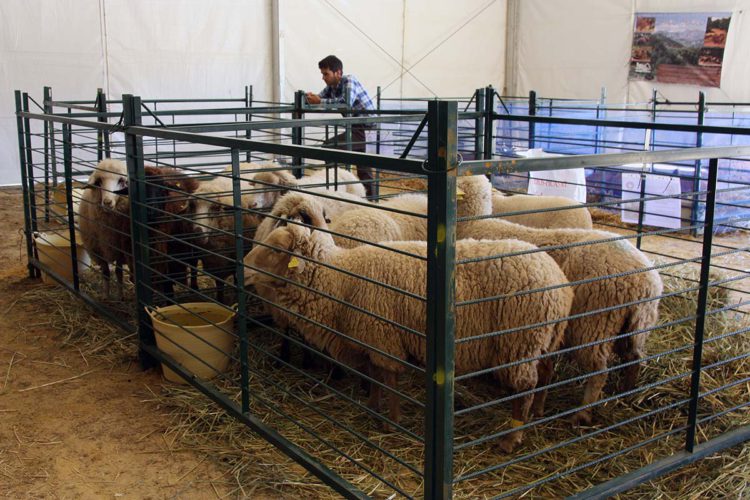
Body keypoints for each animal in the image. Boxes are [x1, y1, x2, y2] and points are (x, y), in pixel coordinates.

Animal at [244, 219, 572, 454]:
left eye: (276, 249)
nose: (244, 269)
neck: (341, 279)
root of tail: (559, 281)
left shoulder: (383, 337)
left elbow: (388, 378)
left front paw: (390, 422)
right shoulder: (371, 336)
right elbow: (374, 375)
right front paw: (373, 407)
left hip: (519, 341)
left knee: (525, 386)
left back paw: (511, 438)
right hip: (546, 339)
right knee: (546, 373)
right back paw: (537, 412)